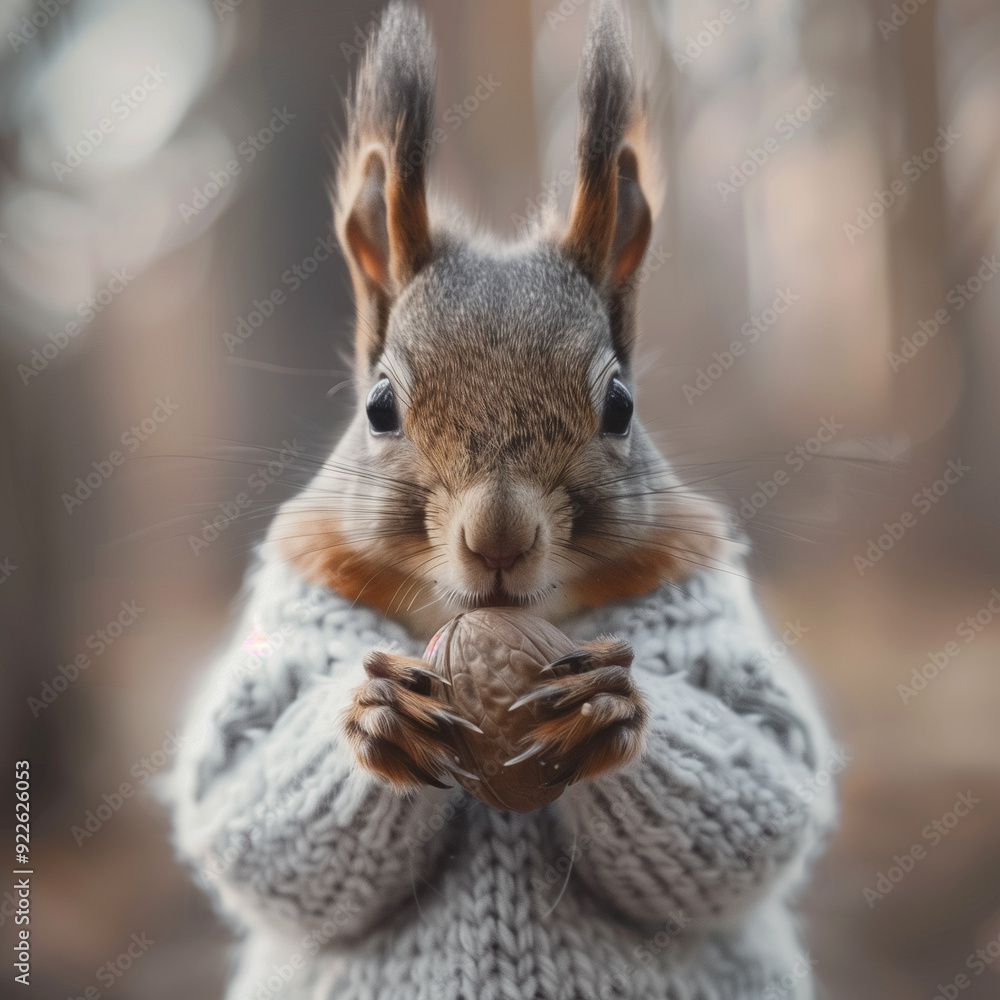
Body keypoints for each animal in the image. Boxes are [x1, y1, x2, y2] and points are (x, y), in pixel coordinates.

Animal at [169, 4, 836, 999]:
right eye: (379, 406)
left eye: (619, 405)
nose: (498, 539)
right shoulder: (297, 612)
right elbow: (241, 795)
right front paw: (374, 717)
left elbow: (770, 775)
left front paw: (609, 709)